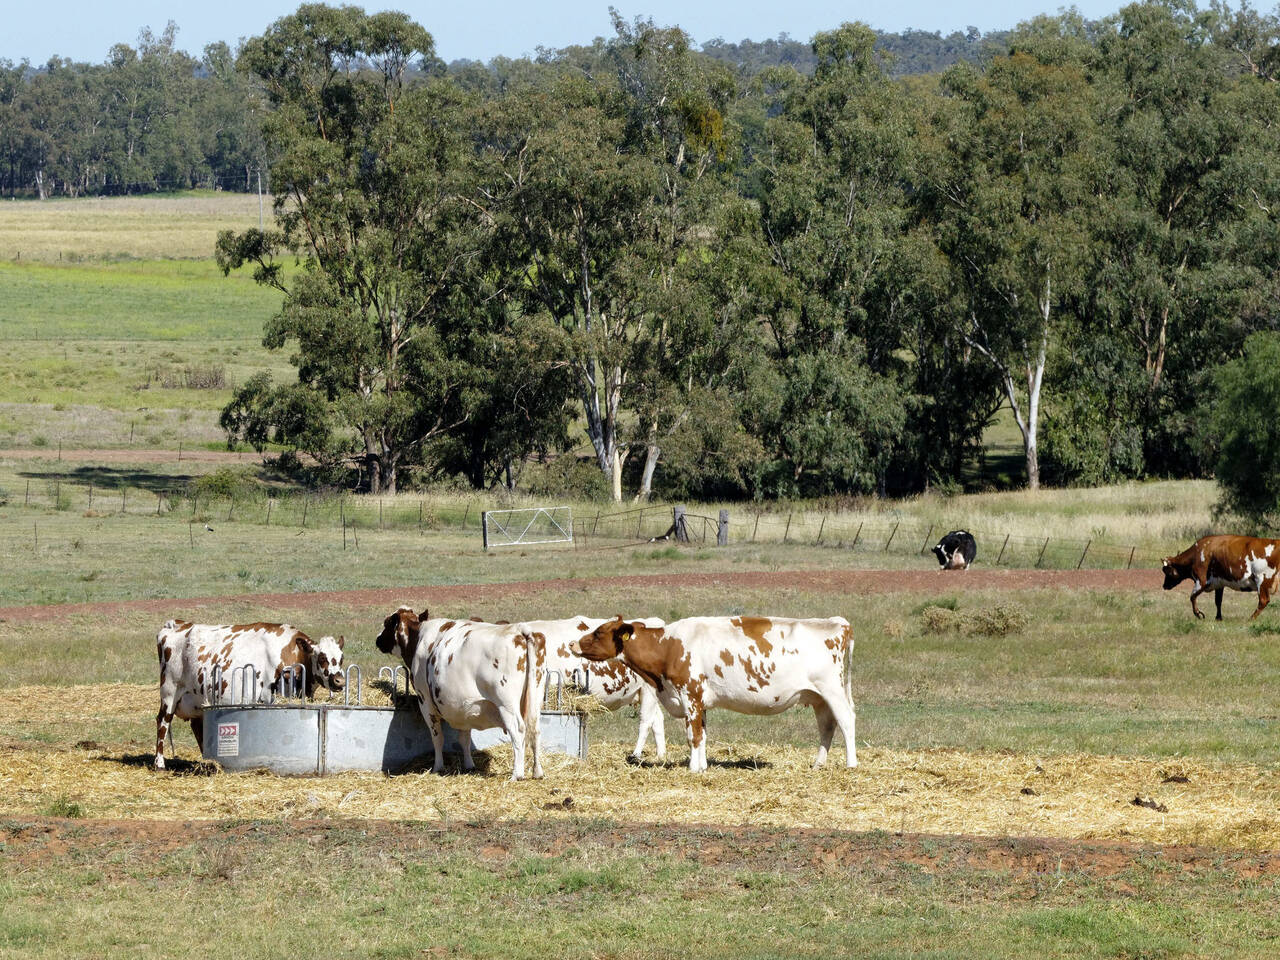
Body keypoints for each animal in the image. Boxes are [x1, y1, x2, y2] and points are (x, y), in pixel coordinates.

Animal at [154, 624, 345, 773]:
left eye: (341, 658)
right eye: (322, 657)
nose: (339, 681)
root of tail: (177, 625)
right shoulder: (269, 697)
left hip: (196, 701)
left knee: (197, 727)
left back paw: (208, 761)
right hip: (170, 692)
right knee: (163, 722)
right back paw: (159, 764)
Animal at [373, 609, 545, 783]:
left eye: (387, 623)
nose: (377, 639)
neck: (419, 637)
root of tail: (519, 630)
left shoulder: (425, 702)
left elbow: (437, 738)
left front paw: (437, 767)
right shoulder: (464, 708)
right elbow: (464, 739)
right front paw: (469, 765)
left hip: (506, 704)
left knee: (518, 731)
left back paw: (517, 774)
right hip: (535, 698)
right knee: (535, 730)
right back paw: (537, 772)